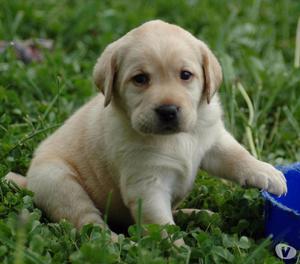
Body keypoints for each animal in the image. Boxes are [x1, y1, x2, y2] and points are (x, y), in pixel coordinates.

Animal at [4, 20, 286, 239]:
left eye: (186, 75)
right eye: (140, 79)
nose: (168, 110)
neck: (176, 138)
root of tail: (28, 180)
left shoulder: (211, 139)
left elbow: (235, 154)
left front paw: (266, 172)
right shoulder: (147, 186)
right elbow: (161, 226)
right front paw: (176, 250)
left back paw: (197, 214)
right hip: (58, 180)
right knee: (86, 220)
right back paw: (109, 241)